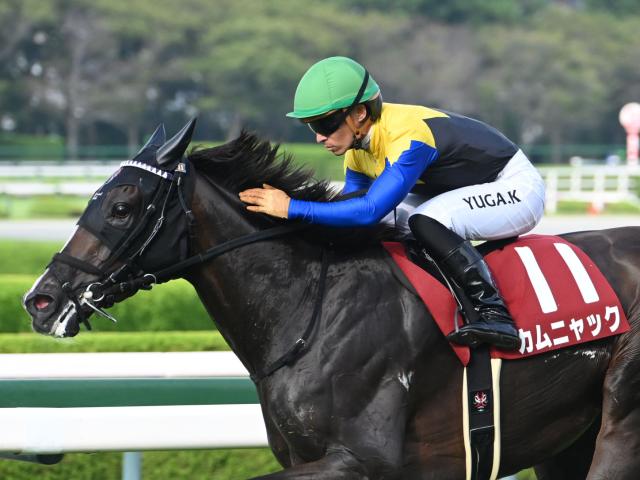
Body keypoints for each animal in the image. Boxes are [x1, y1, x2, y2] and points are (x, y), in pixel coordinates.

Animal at [23, 120, 640, 479]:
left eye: (122, 206)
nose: (40, 301)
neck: (307, 311)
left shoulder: (362, 459)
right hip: (566, 441)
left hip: (618, 419)